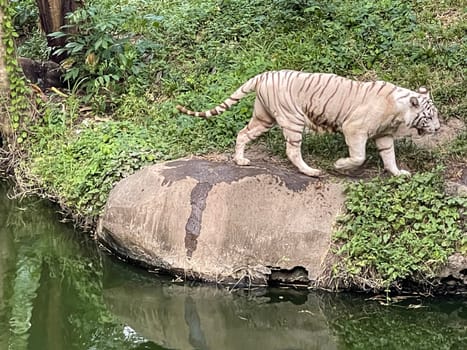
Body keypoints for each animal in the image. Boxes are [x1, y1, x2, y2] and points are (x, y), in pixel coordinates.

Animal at [176, 69, 442, 176]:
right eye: (430, 116)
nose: (439, 128)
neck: (398, 111)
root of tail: (264, 74)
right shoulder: (354, 129)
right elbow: (359, 156)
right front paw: (340, 165)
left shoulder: (383, 135)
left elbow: (389, 156)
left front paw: (398, 173)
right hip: (292, 119)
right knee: (292, 151)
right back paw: (311, 171)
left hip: (263, 118)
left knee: (243, 133)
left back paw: (240, 160)